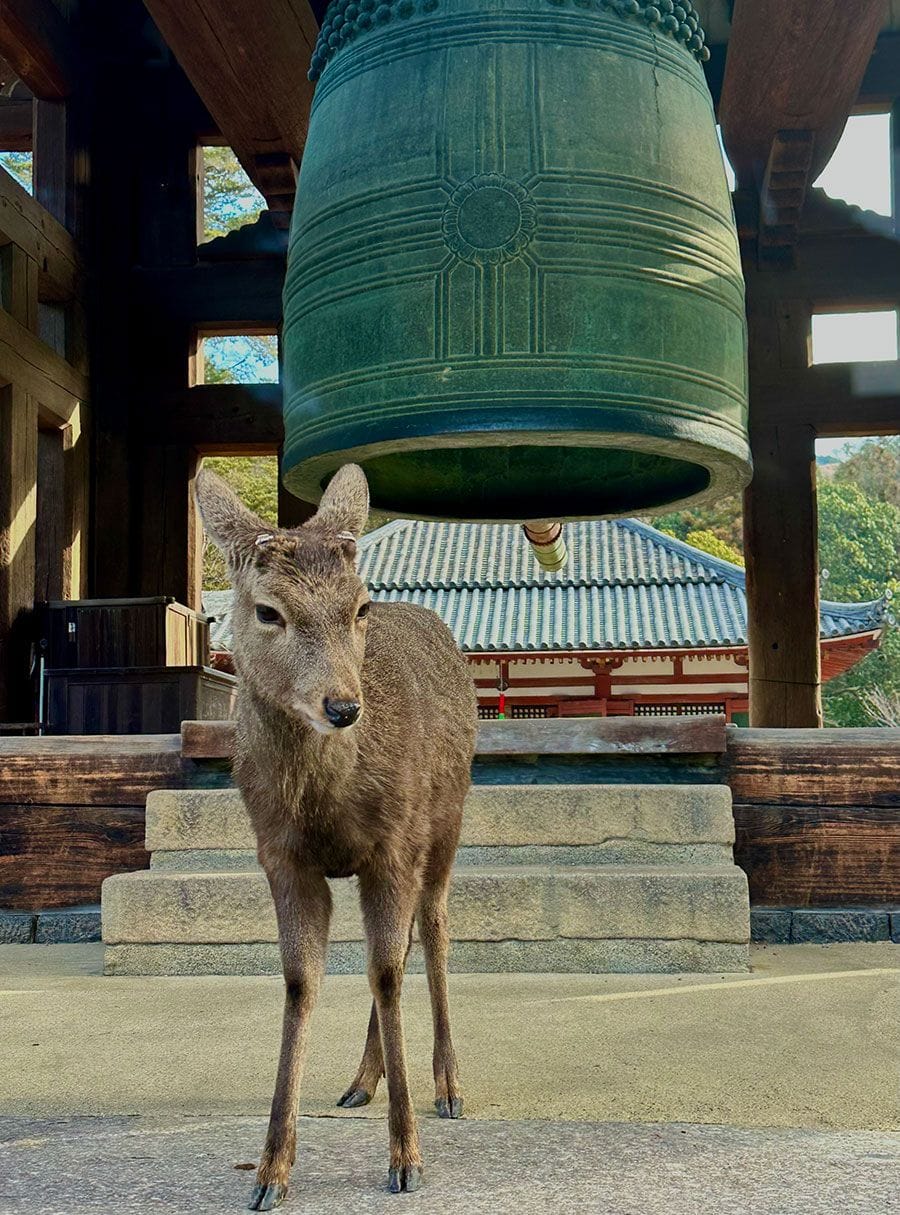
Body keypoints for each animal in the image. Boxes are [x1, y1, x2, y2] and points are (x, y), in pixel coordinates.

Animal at [195, 464, 477, 1212]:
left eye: (358, 607)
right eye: (268, 610)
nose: (343, 705)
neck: (324, 804)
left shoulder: (396, 843)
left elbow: (385, 972)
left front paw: (407, 1158)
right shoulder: (281, 857)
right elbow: (302, 981)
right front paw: (270, 1170)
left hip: (448, 819)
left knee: (431, 929)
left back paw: (449, 1083)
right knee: (400, 947)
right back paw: (360, 1080)